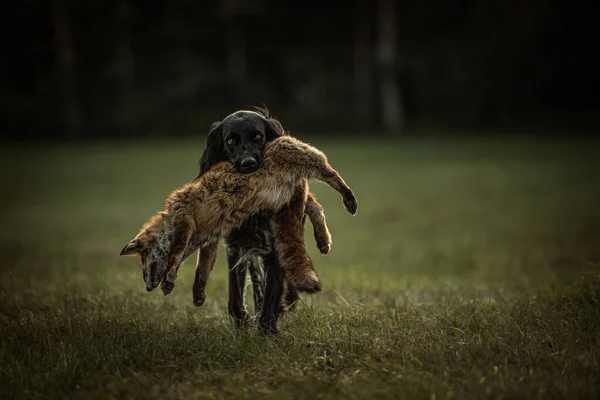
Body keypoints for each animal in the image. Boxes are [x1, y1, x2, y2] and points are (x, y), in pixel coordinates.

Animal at [119, 136, 358, 296]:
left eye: (142, 259)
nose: (147, 287)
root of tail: (280, 137)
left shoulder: (184, 222)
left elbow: (175, 256)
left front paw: (169, 279)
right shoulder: (209, 238)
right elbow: (202, 267)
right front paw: (198, 293)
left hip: (306, 162)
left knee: (332, 174)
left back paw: (349, 198)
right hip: (289, 196)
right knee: (317, 207)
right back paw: (323, 239)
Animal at [196, 107, 302, 334]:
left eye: (258, 136)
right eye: (230, 141)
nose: (248, 164)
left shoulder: (275, 249)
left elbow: (272, 291)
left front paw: (267, 328)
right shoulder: (234, 247)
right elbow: (235, 296)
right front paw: (243, 319)